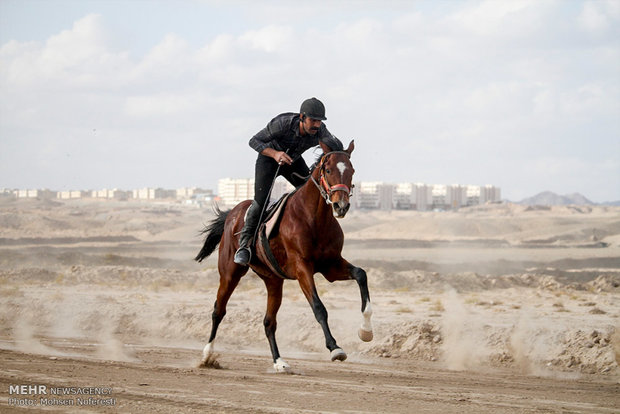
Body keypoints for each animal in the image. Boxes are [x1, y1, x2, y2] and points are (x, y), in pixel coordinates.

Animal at [195, 139, 372, 372]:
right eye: (328, 170)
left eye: (351, 170)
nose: (340, 206)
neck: (314, 218)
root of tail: (231, 213)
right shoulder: (302, 267)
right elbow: (318, 307)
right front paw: (335, 347)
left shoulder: (331, 266)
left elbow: (361, 274)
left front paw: (366, 332)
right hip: (230, 272)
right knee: (218, 310)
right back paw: (207, 355)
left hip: (273, 280)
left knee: (269, 322)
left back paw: (279, 362)